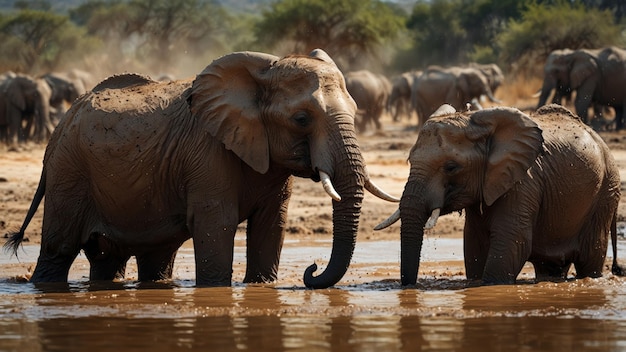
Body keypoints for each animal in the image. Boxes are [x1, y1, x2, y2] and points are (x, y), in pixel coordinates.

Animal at [4, 49, 394, 288]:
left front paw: (262, 286)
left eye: (355, 111)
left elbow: (271, 226)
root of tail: (63, 122)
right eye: (301, 119)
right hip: (69, 171)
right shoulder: (206, 154)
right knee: (58, 250)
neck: (260, 76)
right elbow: (216, 224)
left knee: (124, 257)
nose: (310, 269)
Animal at [378, 104, 620, 286]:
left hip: (607, 190)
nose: (409, 287)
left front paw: (491, 286)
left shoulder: (523, 182)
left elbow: (512, 242)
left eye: (451, 167)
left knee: (590, 257)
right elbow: (474, 245)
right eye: (409, 161)